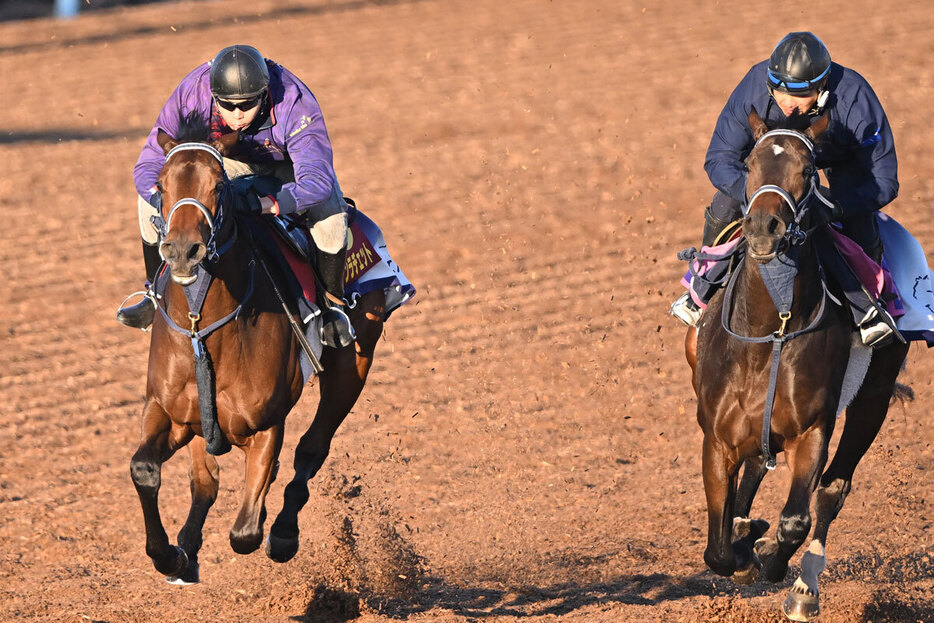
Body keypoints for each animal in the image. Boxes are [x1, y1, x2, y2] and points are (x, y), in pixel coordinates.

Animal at [130, 120, 386, 584]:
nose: (183, 250)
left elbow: (245, 533)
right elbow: (147, 470)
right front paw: (171, 555)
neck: (205, 330)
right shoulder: (169, 413)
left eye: (219, 186)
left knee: (311, 449)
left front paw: (265, 524)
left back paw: (283, 532)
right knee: (206, 480)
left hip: (354, 364)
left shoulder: (266, 426)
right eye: (160, 185)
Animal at [688, 109, 908, 620]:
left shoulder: (811, 431)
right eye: (749, 165)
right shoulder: (717, 438)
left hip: (872, 399)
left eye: (808, 171)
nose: (764, 228)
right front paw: (744, 543)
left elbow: (794, 519)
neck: (770, 332)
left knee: (832, 490)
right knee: (755, 471)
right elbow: (717, 550)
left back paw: (804, 588)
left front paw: (768, 556)